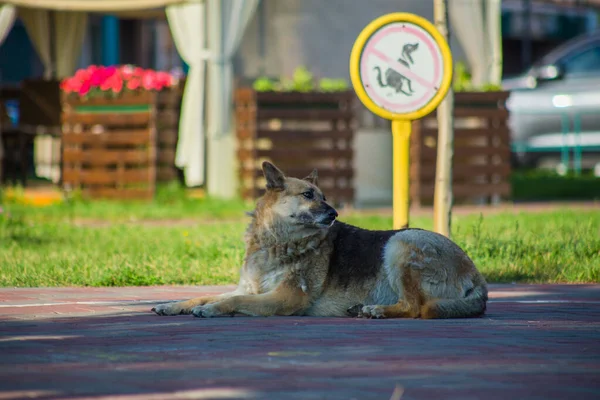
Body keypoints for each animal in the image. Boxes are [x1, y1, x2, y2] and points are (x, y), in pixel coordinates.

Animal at [151, 161, 488, 320]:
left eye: (323, 196)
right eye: (308, 195)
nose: (335, 213)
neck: (275, 242)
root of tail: (477, 278)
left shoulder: (285, 297)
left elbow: (234, 301)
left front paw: (213, 310)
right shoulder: (249, 288)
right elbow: (205, 296)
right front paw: (173, 304)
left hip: (400, 244)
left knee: (415, 307)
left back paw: (375, 311)